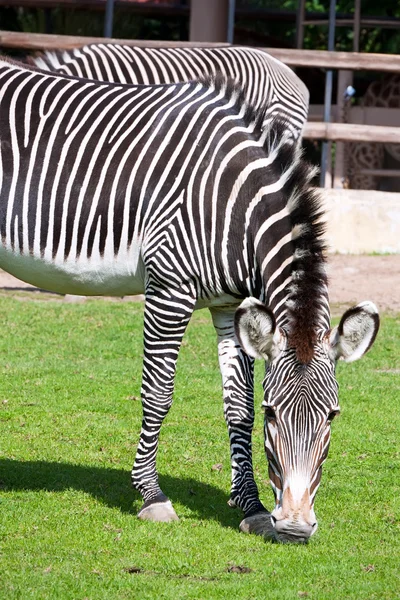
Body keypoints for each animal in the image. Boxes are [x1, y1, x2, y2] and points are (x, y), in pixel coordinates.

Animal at [0, 57, 378, 544]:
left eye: (332, 417)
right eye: (273, 414)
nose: (294, 528)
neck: (234, 207)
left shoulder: (231, 305)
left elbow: (237, 407)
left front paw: (252, 506)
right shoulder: (169, 288)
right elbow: (158, 392)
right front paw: (151, 495)